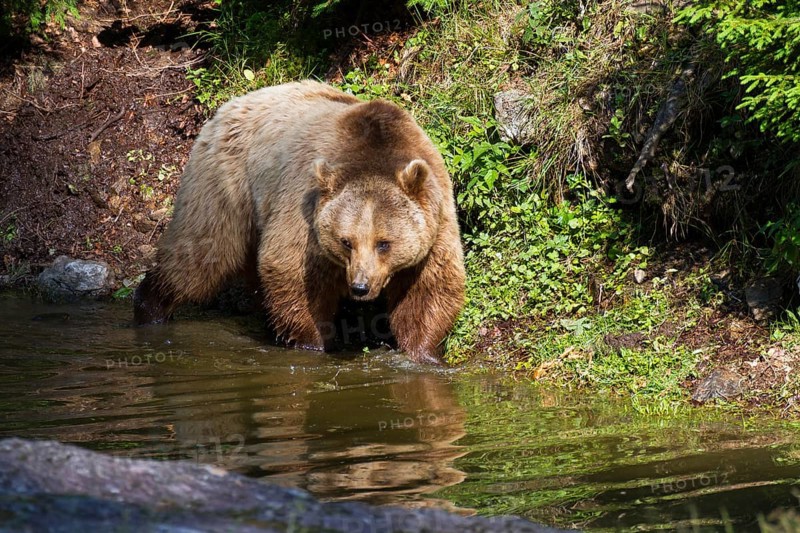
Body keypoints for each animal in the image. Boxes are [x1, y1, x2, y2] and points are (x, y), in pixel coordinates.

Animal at [134, 80, 465, 364]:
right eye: (347, 241)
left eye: (384, 243)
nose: (360, 286)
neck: (375, 152)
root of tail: (229, 105)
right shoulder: (304, 205)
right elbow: (290, 269)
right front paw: (313, 342)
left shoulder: (436, 218)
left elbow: (430, 287)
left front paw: (425, 352)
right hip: (226, 182)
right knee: (200, 254)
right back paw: (149, 308)